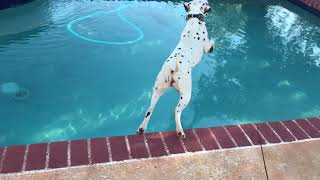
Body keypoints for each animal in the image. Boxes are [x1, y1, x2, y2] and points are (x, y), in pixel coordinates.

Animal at [137, 0, 215, 138]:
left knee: (150, 110)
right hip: (186, 95)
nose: (211, 8)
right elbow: (212, 43)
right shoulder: (207, 47)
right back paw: (180, 130)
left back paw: (142, 128)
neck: (194, 17)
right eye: (206, 3)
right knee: (177, 111)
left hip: (157, 91)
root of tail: (174, 63)